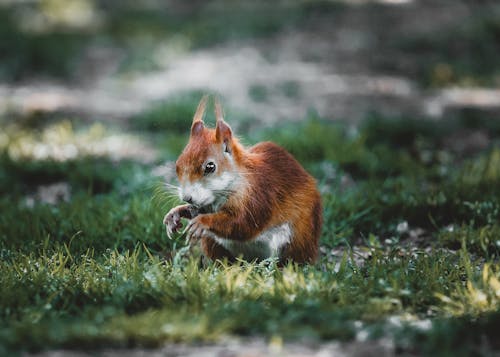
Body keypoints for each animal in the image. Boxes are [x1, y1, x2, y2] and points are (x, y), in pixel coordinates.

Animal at [162, 96, 322, 262]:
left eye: (210, 167)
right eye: (177, 165)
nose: (187, 197)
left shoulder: (259, 197)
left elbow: (243, 224)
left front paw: (202, 222)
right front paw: (175, 214)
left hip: (295, 240)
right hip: (212, 242)